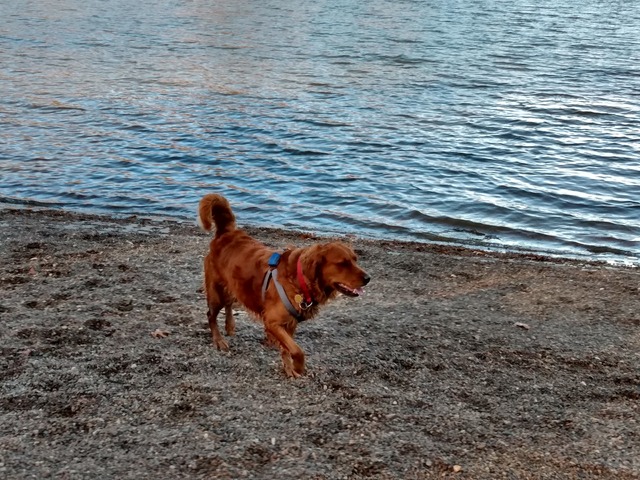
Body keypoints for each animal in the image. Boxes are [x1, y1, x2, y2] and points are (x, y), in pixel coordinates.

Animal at [199, 193, 370, 376]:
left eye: (355, 260)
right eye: (342, 263)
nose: (368, 278)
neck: (300, 280)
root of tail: (227, 233)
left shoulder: (289, 323)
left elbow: (288, 349)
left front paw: (289, 368)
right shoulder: (273, 322)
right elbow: (297, 350)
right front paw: (298, 367)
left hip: (236, 286)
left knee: (229, 303)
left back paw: (230, 325)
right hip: (216, 291)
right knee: (211, 315)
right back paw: (218, 340)